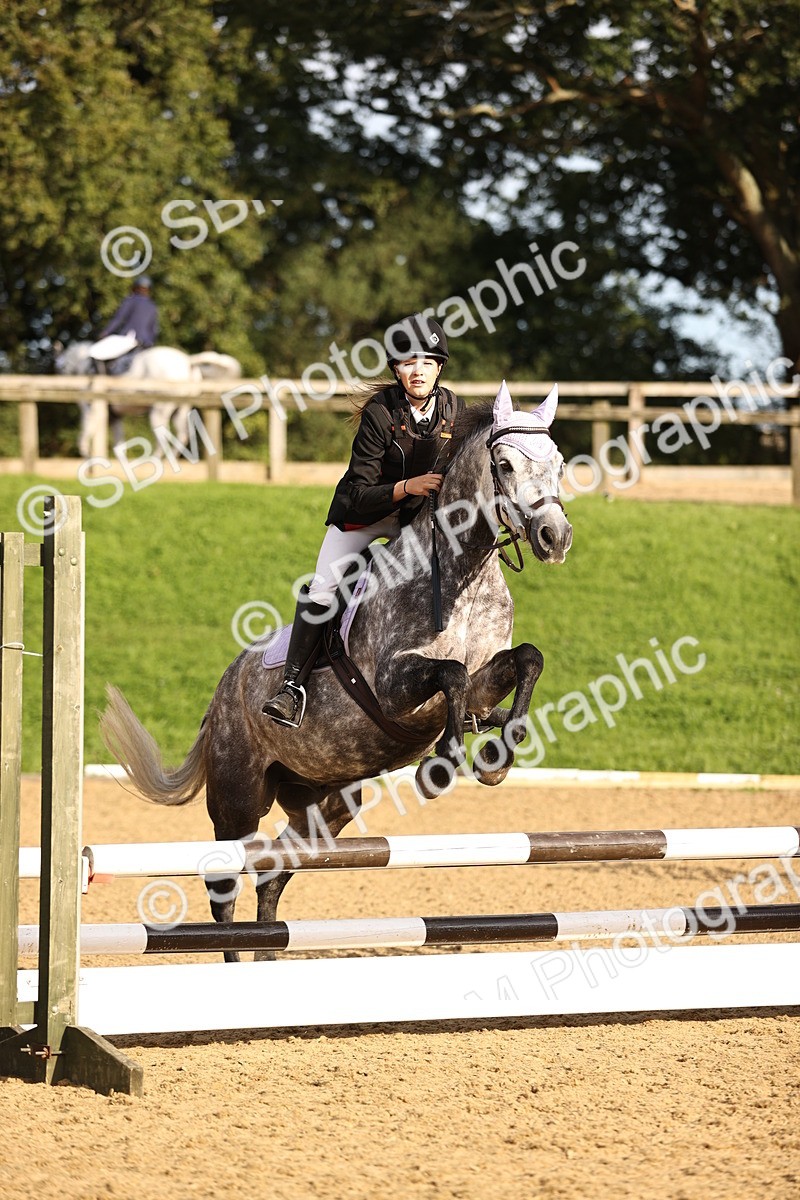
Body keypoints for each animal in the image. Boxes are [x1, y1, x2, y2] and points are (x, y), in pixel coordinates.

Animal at [55, 342, 241, 453]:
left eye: (62, 366)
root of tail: (188, 361)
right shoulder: (115, 416)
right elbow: (119, 443)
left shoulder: (92, 409)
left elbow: (85, 434)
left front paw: (86, 457)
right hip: (180, 409)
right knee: (181, 435)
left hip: (159, 409)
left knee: (163, 438)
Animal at [100, 381, 573, 960]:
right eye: (504, 465)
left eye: (558, 463)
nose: (554, 536)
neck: (462, 572)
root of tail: (221, 694)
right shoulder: (393, 688)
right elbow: (451, 675)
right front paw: (441, 766)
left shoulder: (486, 681)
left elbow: (526, 659)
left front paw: (498, 755)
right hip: (237, 799)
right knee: (224, 883)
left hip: (325, 806)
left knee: (272, 876)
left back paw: (265, 955)